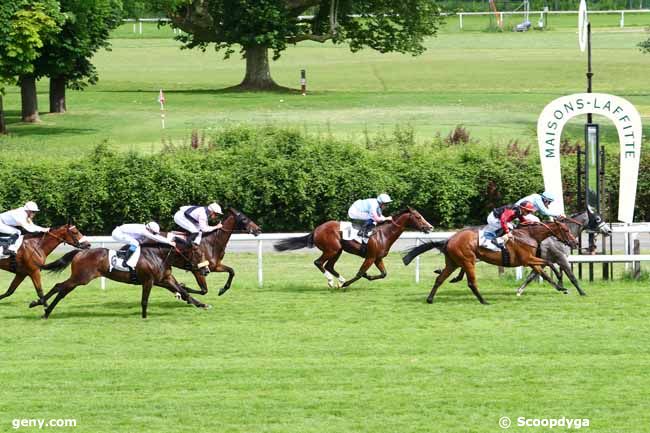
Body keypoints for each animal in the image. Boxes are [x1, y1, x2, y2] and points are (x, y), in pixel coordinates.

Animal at [38, 240, 209, 318]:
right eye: (198, 254)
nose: (206, 270)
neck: (159, 256)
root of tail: (80, 252)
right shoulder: (148, 281)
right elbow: (144, 300)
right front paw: (144, 317)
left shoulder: (164, 280)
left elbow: (184, 292)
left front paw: (203, 305)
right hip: (81, 278)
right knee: (60, 287)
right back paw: (43, 309)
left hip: (79, 278)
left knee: (60, 288)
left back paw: (43, 307)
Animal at [274, 208, 430, 288]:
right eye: (418, 217)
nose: (430, 227)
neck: (384, 234)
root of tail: (317, 229)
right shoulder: (370, 257)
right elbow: (359, 273)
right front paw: (348, 283)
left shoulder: (377, 258)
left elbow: (383, 274)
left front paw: (368, 276)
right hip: (332, 249)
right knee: (318, 262)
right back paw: (332, 281)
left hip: (338, 250)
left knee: (329, 266)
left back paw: (340, 280)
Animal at [400, 223, 576, 304]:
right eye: (566, 230)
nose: (574, 243)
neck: (528, 235)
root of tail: (449, 239)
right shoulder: (527, 260)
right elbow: (549, 263)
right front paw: (561, 280)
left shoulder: (531, 262)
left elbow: (544, 273)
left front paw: (561, 287)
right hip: (468, 261)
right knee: (471, 282)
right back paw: (484, 301)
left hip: (453, 263)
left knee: (440, 279)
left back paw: (430, 299)